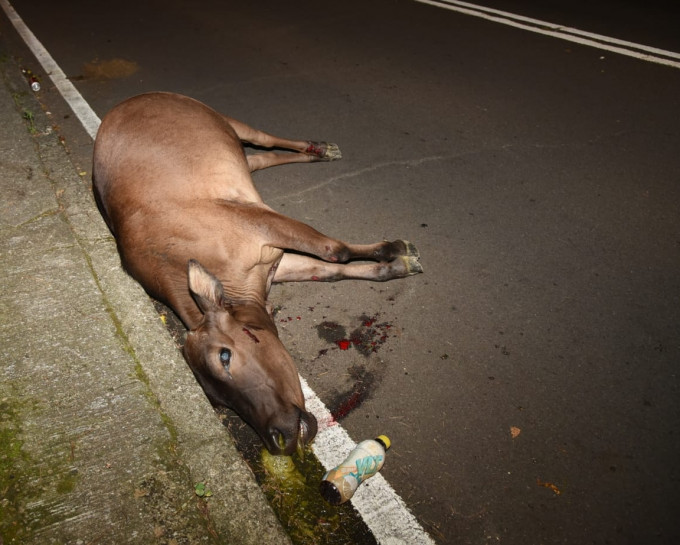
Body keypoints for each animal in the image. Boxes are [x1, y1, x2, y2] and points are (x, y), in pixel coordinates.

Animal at [90, 92, 420, 454]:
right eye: (218, 400)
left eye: (224, 356)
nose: (279, 436)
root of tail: (132, 99)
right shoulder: (270, 261)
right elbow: (329, 270)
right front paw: (394, 266)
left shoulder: (260, 222)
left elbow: (335, 251)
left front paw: (395, 249)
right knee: (259, 158)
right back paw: (316, 153)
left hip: (226, 121)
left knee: (264, 141)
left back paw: (319, 148)